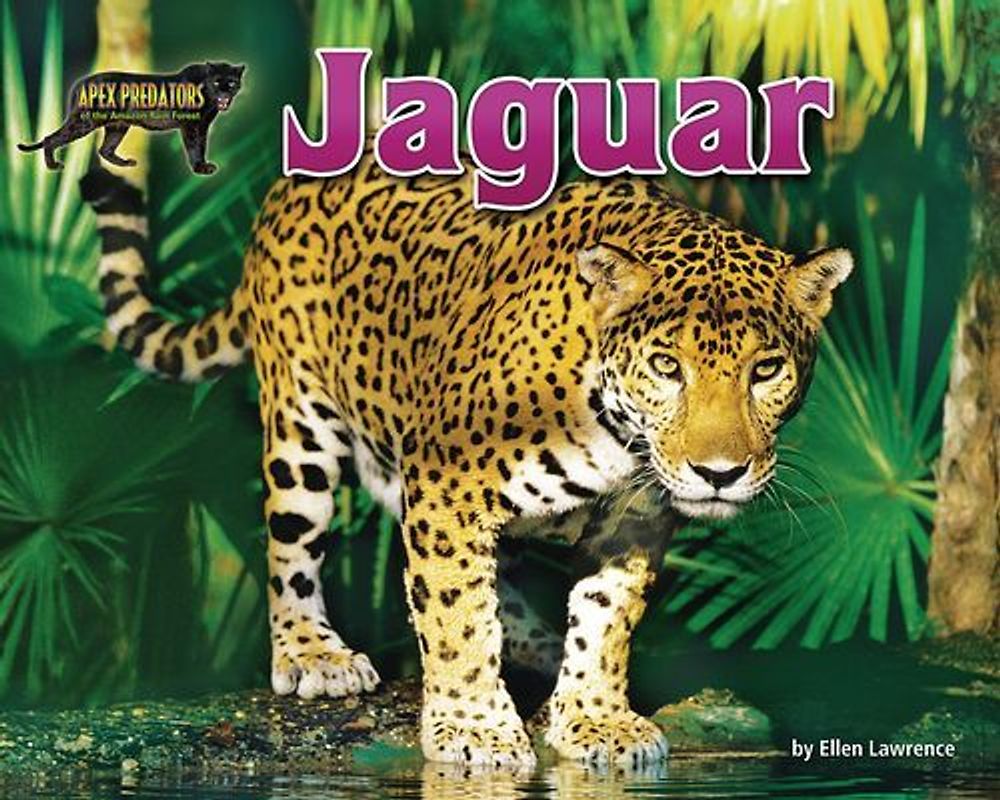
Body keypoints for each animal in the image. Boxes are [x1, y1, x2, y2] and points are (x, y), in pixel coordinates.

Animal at [79, 154, 851, 768]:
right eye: (667, 367)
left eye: (766, 369)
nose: (718, 473)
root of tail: (292, 183)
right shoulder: (448, 483)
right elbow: (454, 614)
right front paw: (475, 728)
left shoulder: (633, 517)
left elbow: (606, 620)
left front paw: (595, 716)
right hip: (301, 422)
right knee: (293, 546)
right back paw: (312, 652)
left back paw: (538, 645)